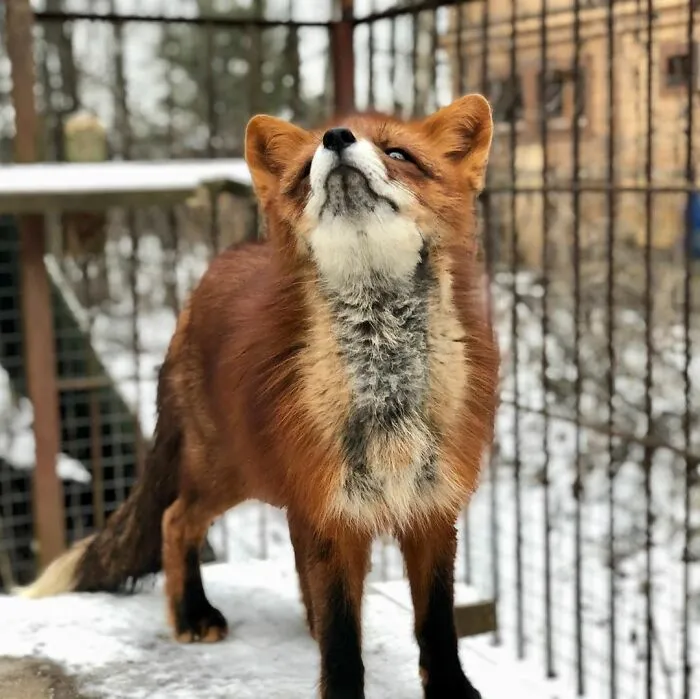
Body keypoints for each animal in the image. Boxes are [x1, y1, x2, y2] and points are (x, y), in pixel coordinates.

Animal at [16, 94, 500, 699]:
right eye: (305, 167)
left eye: (398, 153)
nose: (336, 137)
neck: (386, 393)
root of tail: (213, 270)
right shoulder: (330, 510)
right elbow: (342, 635)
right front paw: (341, 687)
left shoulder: (430, 508)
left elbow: (436, 624)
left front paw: (452, 690)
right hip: (227, 469)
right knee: (175, 520)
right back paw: (192, 613)